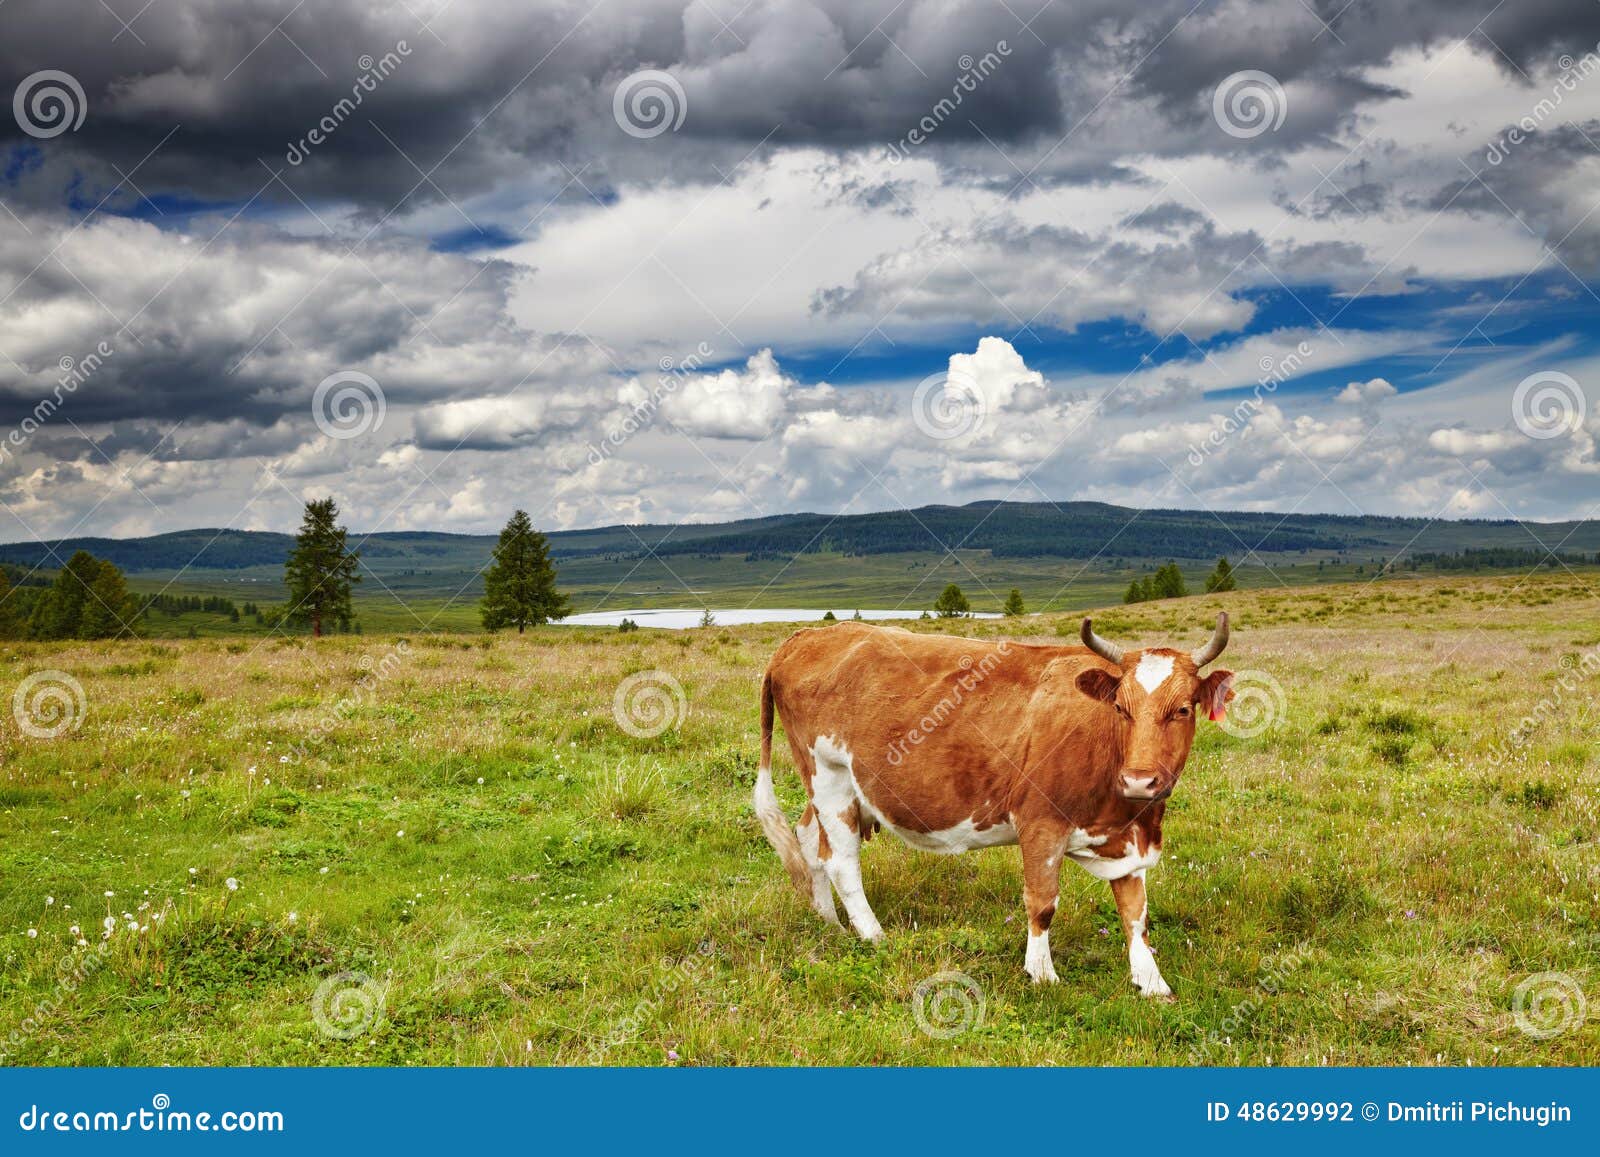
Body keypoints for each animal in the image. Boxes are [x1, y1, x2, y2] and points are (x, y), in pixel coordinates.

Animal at [752, 614, 1235, 998]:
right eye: (1120, 707)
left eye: (1183, 709)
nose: (1139, 779)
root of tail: (805, 636)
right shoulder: (1041, 823)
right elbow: (1042, 902)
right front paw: (1042, 974)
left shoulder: (1126, 838)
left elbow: (1136, 914)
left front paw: (1151, 981)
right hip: (828, 775)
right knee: (841, 860)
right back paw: (873, 935)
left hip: (835, 789)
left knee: (809, 841)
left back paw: (829, 922)